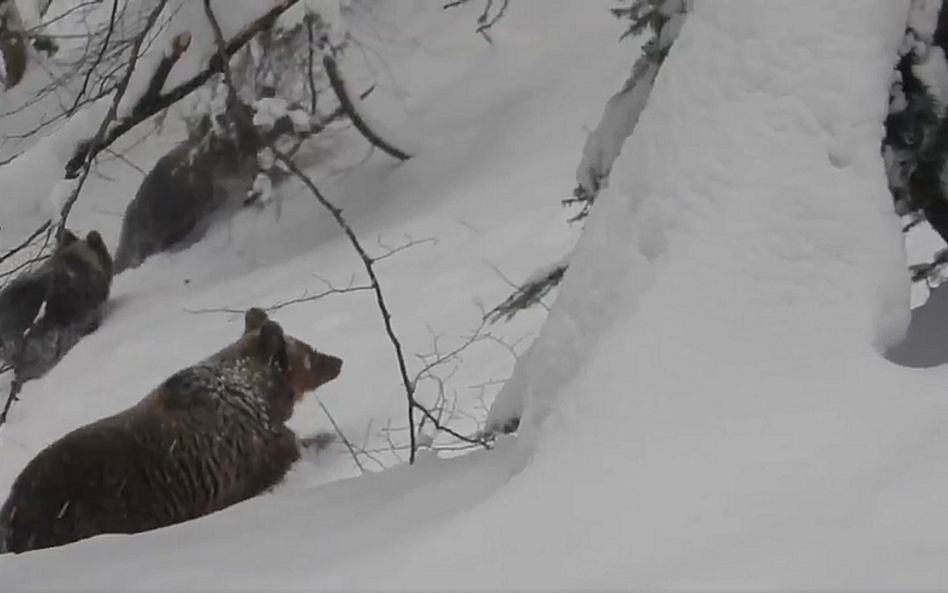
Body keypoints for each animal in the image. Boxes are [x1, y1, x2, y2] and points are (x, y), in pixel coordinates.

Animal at [0, 308, 344, 552]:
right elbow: (293, 450)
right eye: (309, 353)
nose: (338, 360)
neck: (260, 396)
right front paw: (329, 438)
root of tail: (13, 513)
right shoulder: (253, 452)